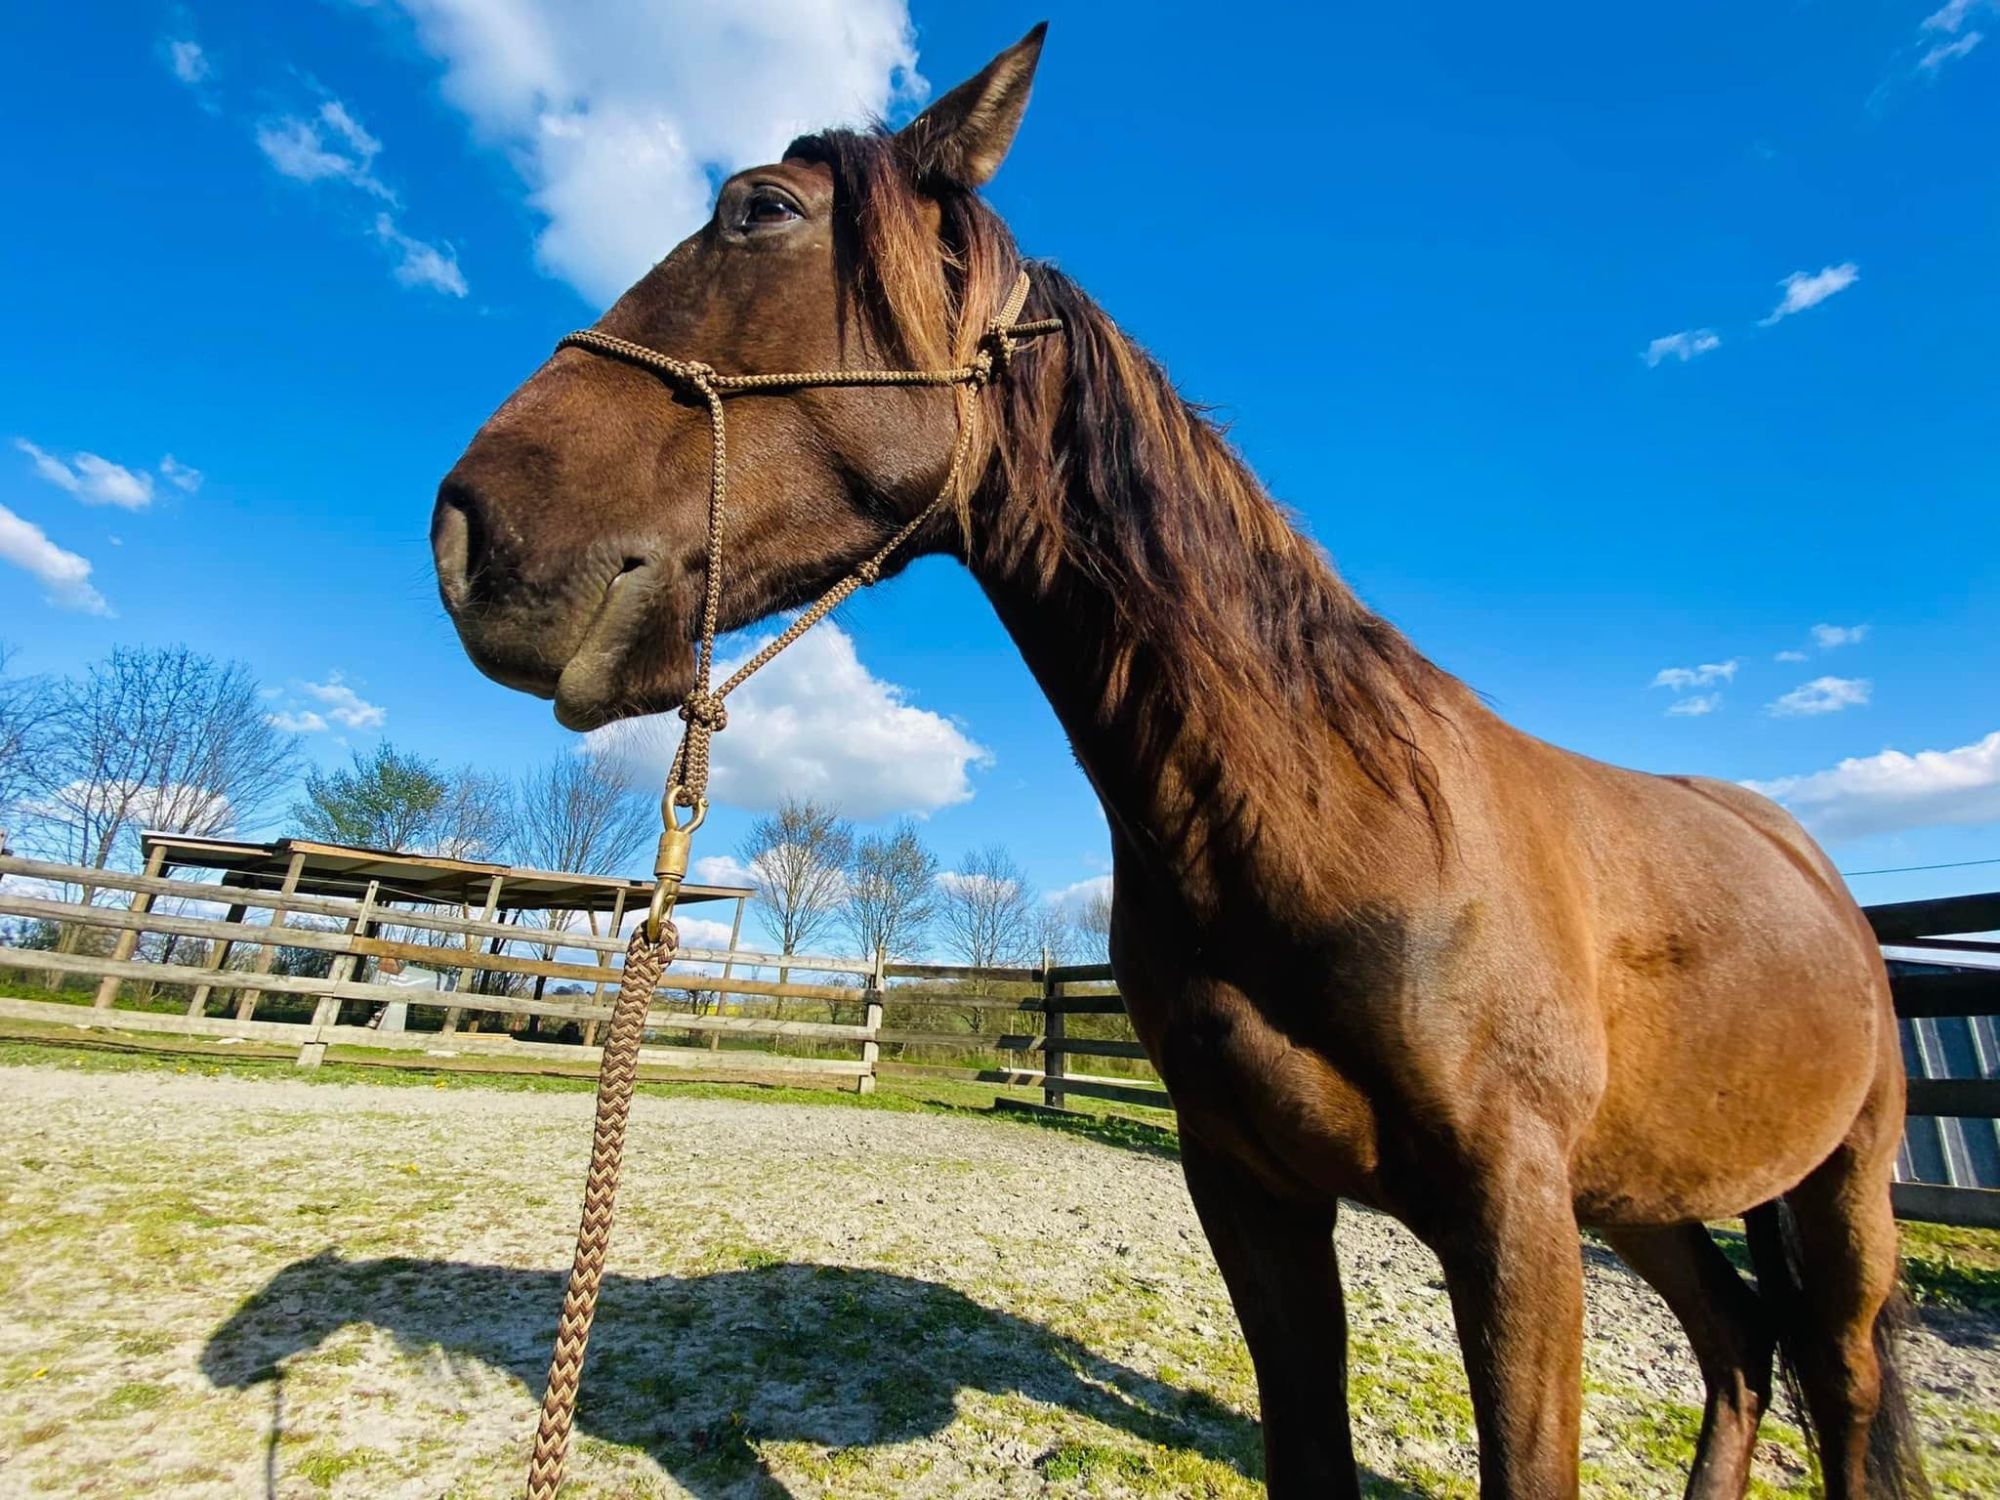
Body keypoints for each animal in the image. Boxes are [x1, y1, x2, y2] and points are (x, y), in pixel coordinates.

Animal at [430, 26, 1928, 1500]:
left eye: (761, 212)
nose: (466, 536)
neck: (1336, 814)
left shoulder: (1512, 1217)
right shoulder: (1254, 1191)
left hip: (1837, 1189)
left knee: (1836, 1374)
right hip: (1645, 1190)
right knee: (1738, 1348)